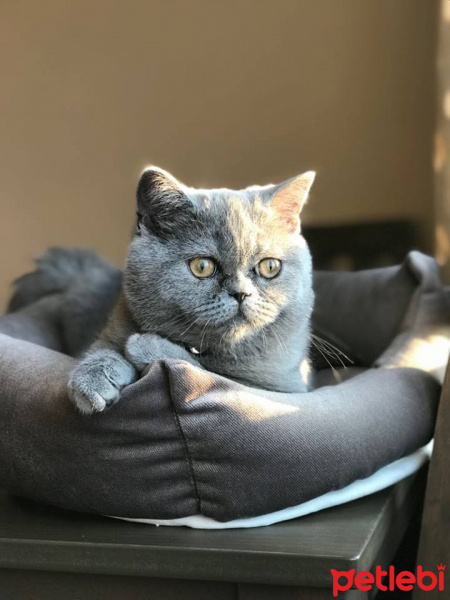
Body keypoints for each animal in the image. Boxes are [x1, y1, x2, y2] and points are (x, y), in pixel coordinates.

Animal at [69, 166, 316, 414]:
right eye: (202, 266)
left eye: (270, 267)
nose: (241, 293)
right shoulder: (114, 326)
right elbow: (103, 346)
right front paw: (92, 377)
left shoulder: (281, 389)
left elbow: (209, 372)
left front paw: (145, 344)